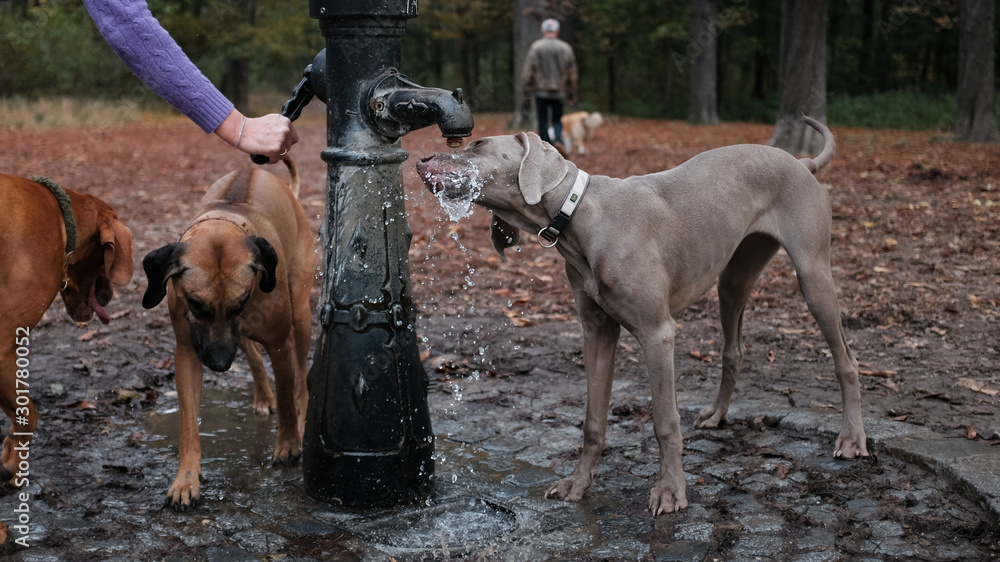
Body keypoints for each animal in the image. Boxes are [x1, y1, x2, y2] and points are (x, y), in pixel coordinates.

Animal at [141, 156, 312, 508]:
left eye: (241, 302)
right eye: (196, 304)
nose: (219, 364)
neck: (226, 220)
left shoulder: (280, 342)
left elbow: (287, 398)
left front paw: (289, 443)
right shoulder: (188, 350)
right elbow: (188, 423)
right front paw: (186, 480)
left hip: (301, 311)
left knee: (301, 378)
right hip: (239, 339)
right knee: (252, 354)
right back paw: (262, 395)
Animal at [414, 117, 868, 512]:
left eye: (476, 144)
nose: (419, 159)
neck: (581, 216)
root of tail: (802, 163)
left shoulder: (657, 333)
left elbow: (665, 421)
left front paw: (670, 491)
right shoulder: (597, 332)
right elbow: (592, 421)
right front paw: (578, 483)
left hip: (813, 275)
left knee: (846, 358)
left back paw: (852, 439)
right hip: (733, 278)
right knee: (734, 349)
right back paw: (717, 414)